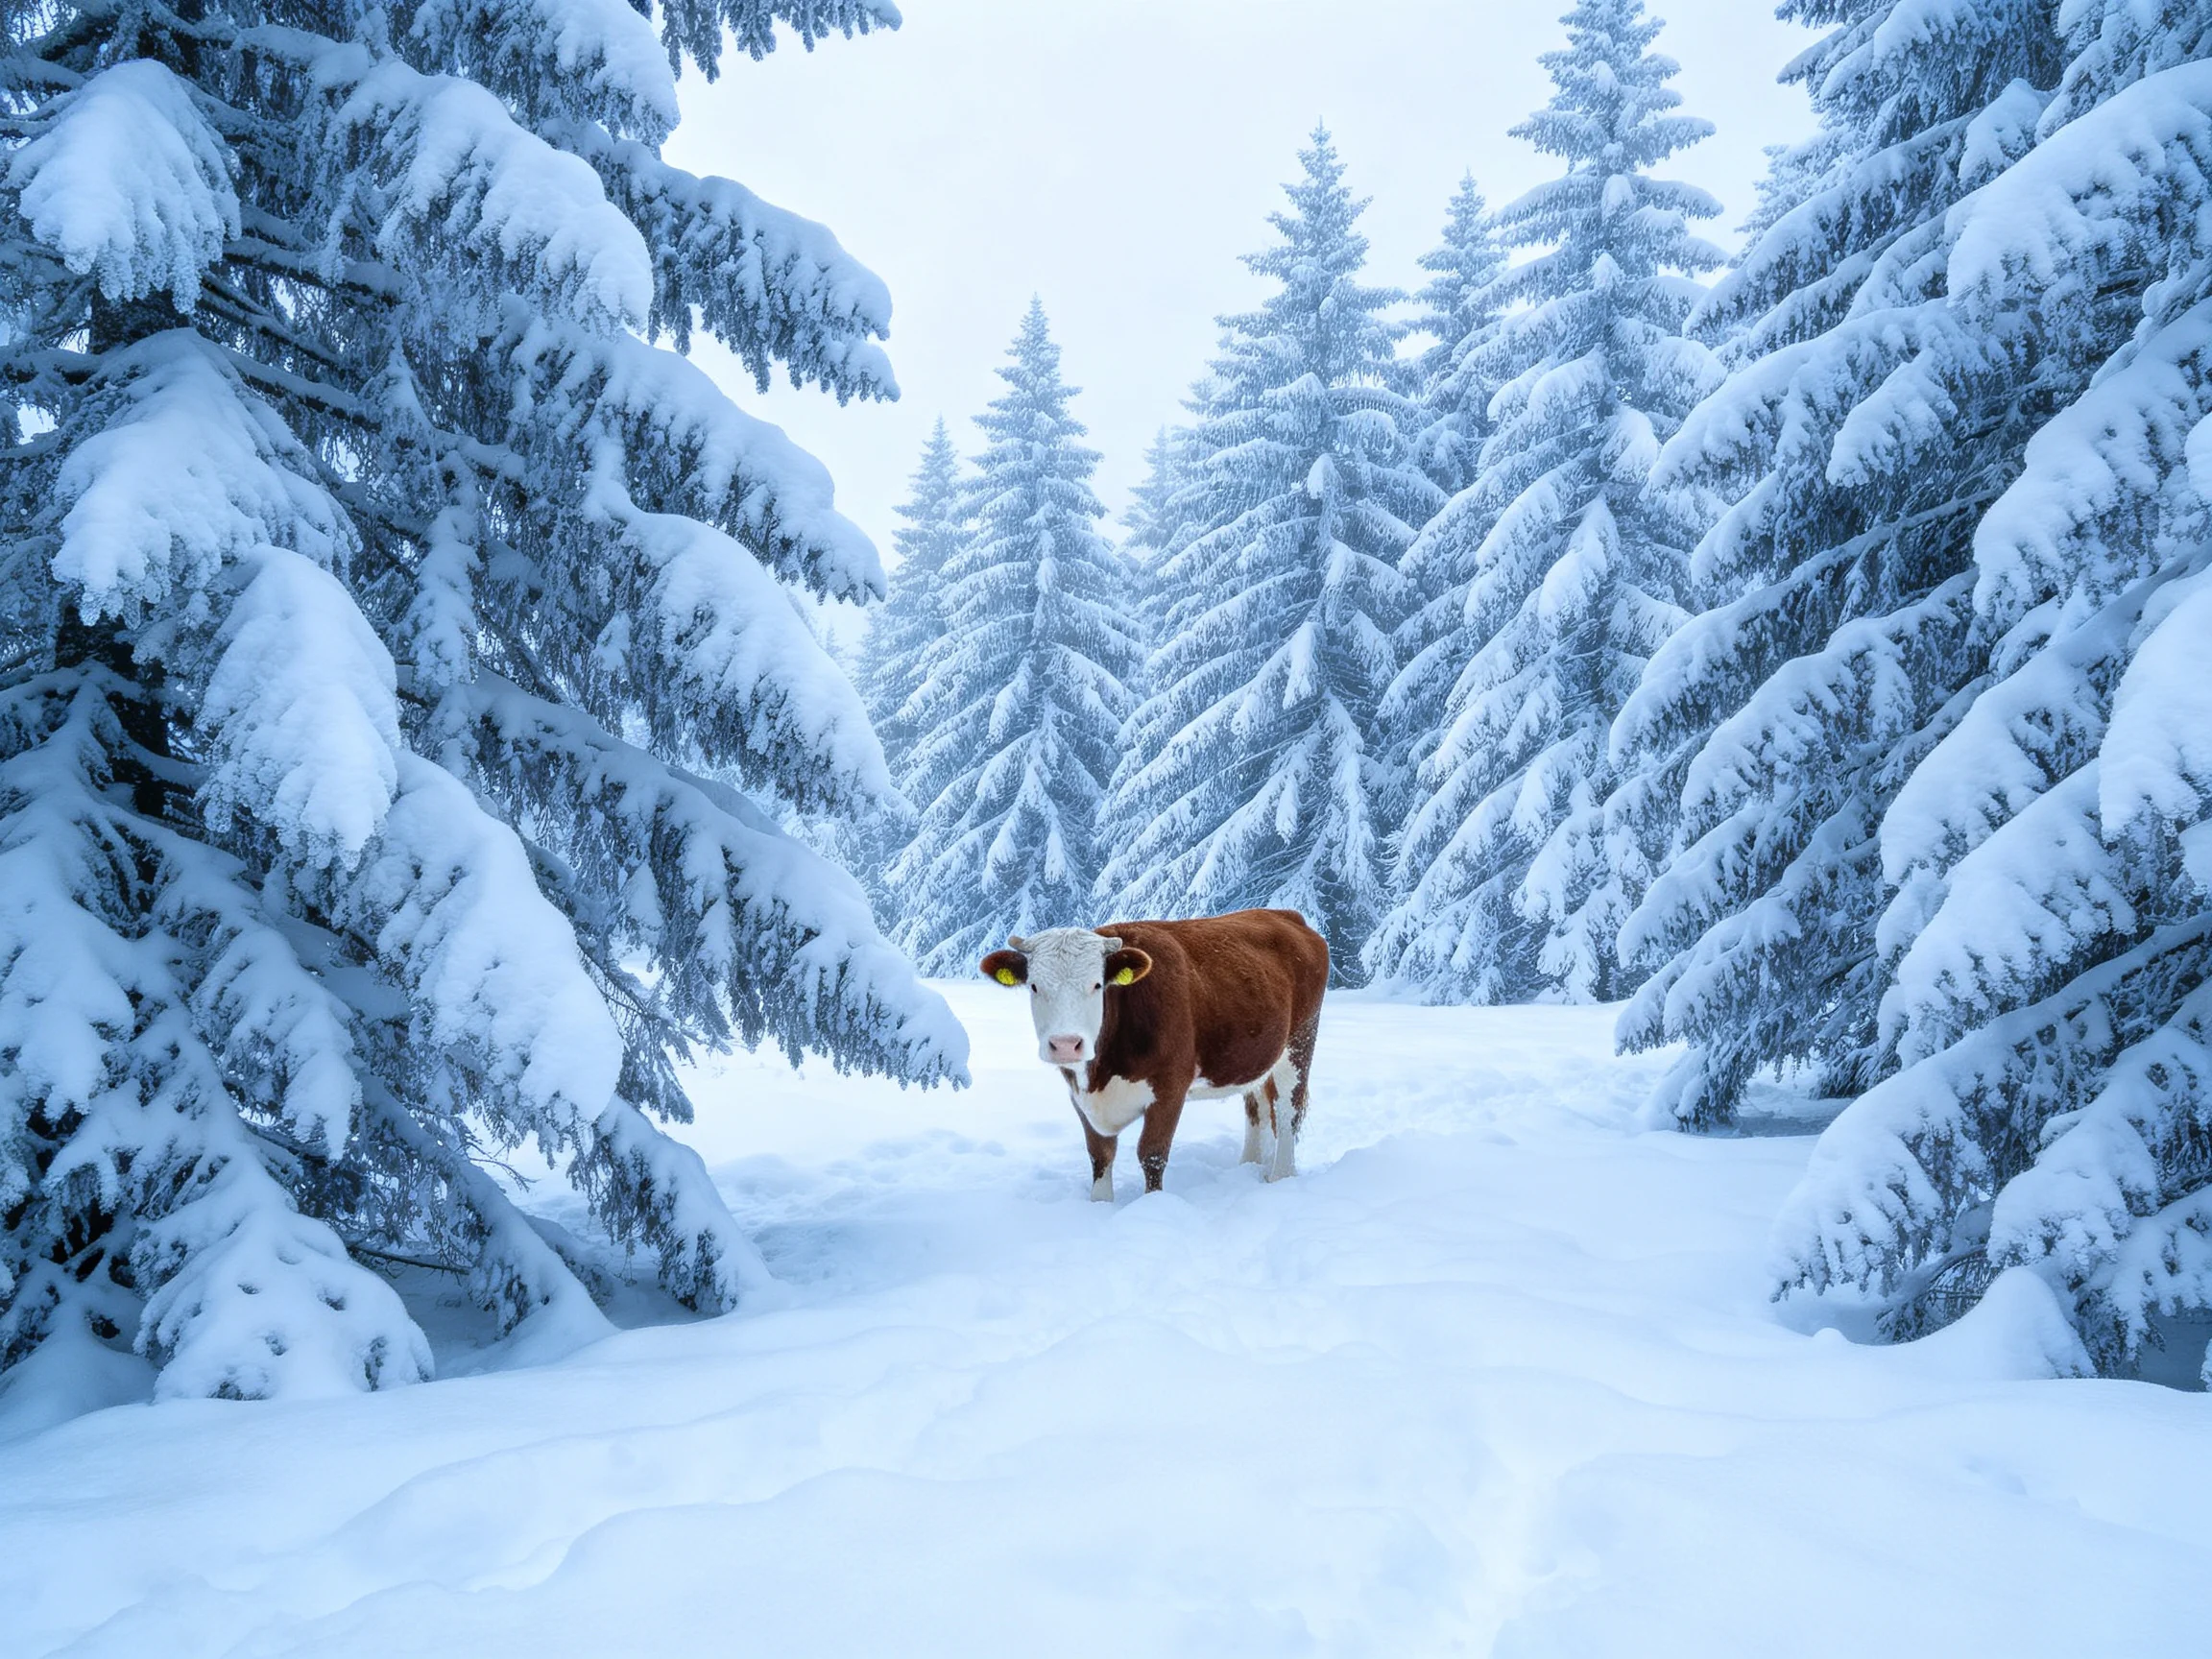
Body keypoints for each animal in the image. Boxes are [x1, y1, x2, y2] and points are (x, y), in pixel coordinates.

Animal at [979, 909, 1328, 1201]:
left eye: (1097, 985)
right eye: (1034, 986)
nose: (1066, 1044)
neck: (1101, 1073)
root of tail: (1284, 914)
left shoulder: (1170, 1088)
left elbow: (1152, 1154)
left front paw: (1153, 1207)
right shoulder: (1079, 1095)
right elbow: (1099, 1154)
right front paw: (1100, 1206)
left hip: (1299, 1044)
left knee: (1287, 1110)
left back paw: (1280, 1177)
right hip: (1254, 1056)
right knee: (1257, 1106)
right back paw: (1249, 1166)